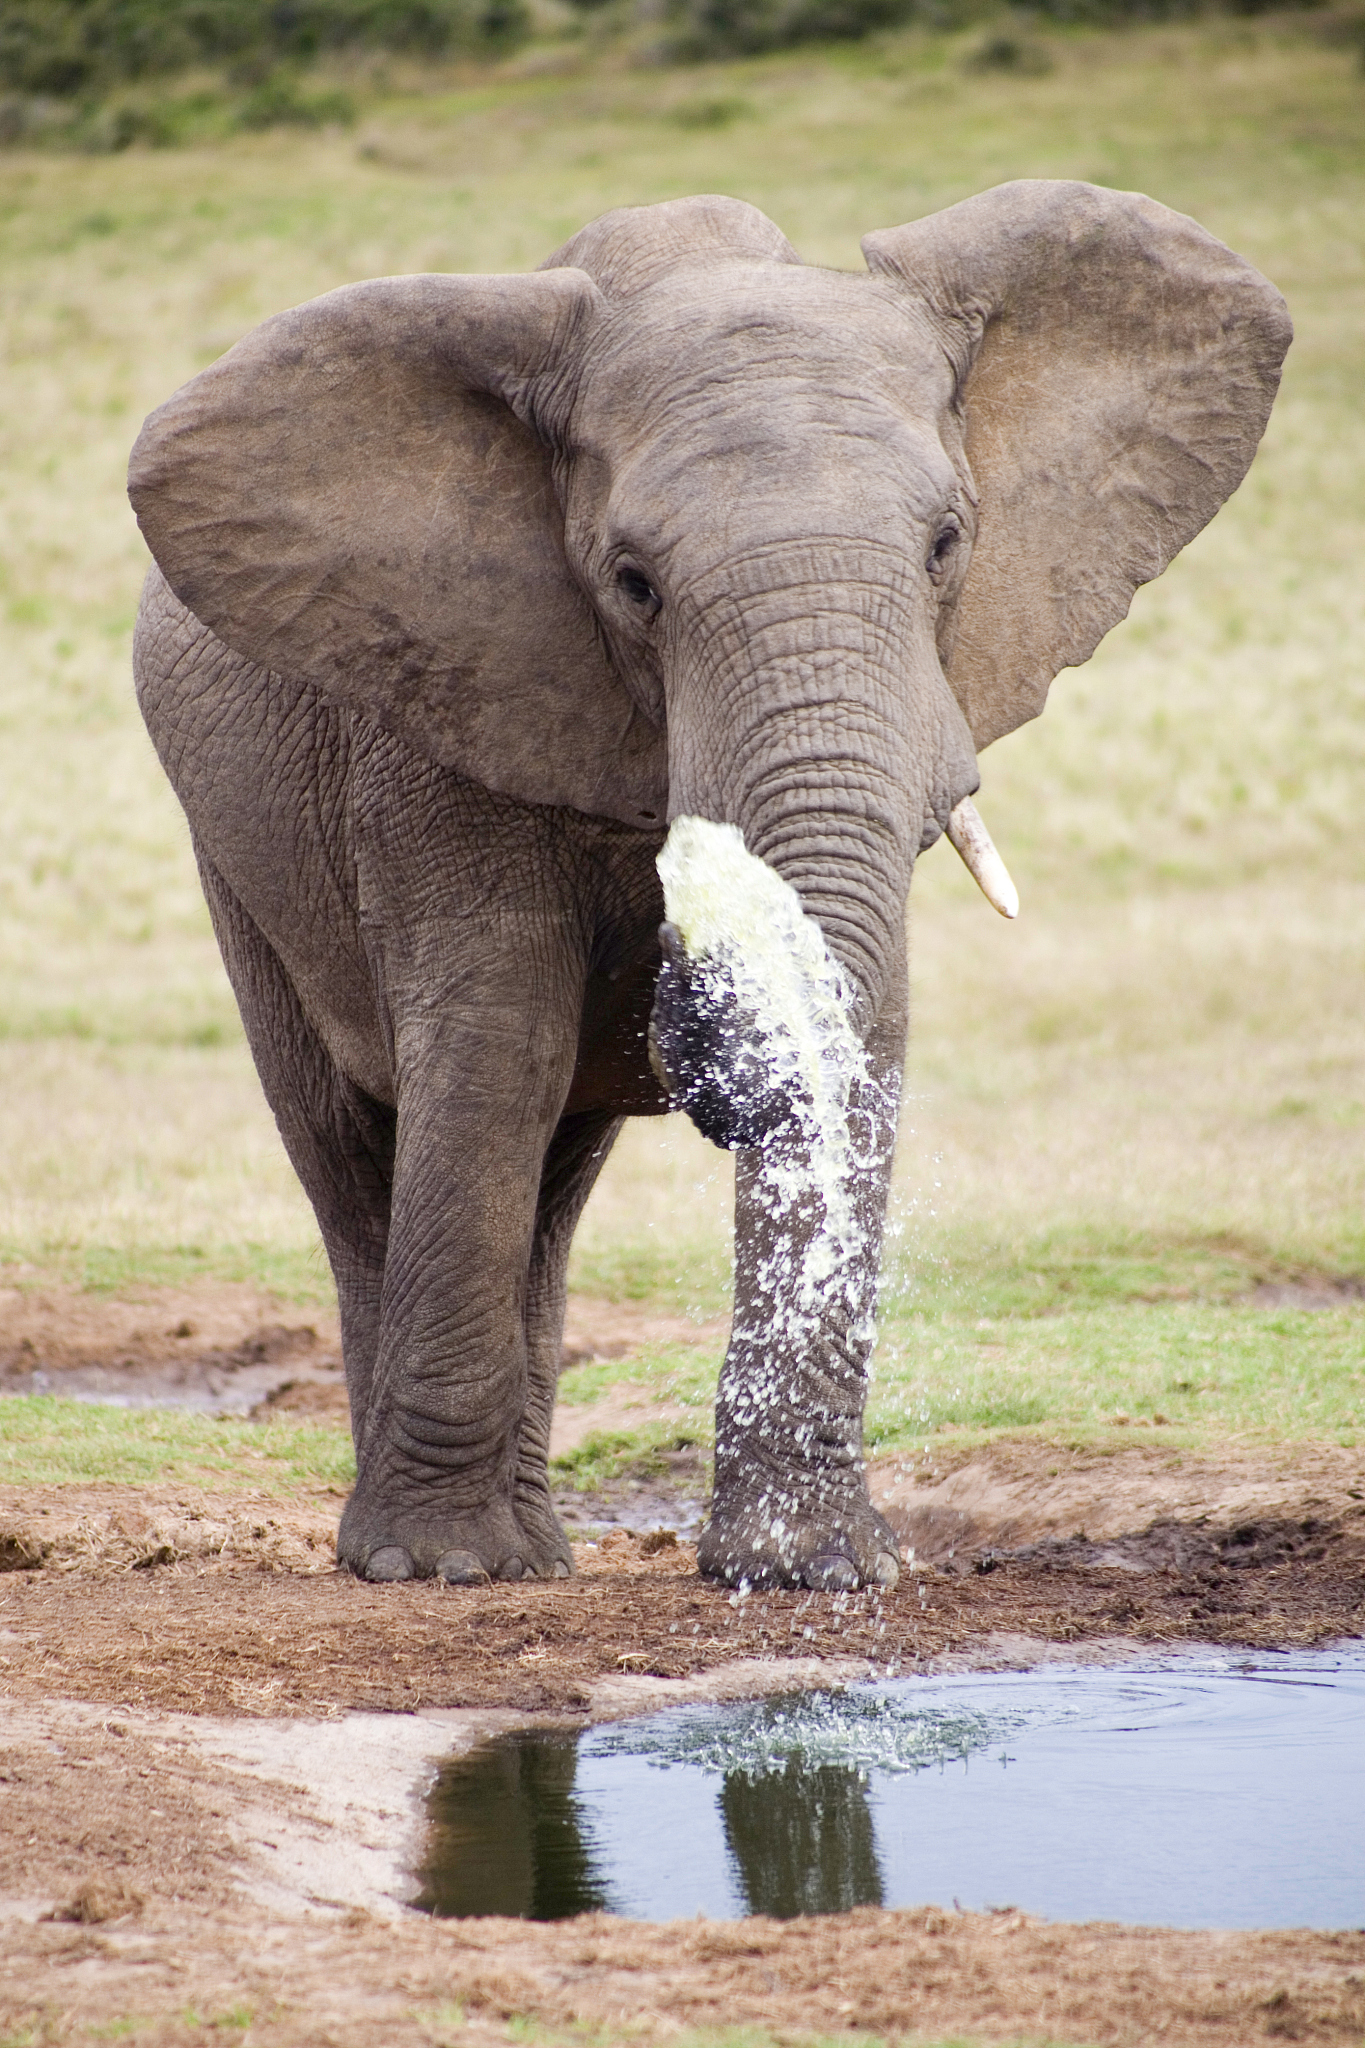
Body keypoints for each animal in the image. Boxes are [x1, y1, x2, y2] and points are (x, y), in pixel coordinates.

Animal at [127, 181, 1289, 1592]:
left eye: (947, 543)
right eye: (634, 583)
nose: (690, 1022)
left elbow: (867, 1023)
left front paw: (813, 1571)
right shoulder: (437, 709)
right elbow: (496, 1045)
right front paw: (444, 1568)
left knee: (557, 1178)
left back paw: (541, 1549)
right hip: (233, 847)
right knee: (357, 1145)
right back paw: (431, 1553)